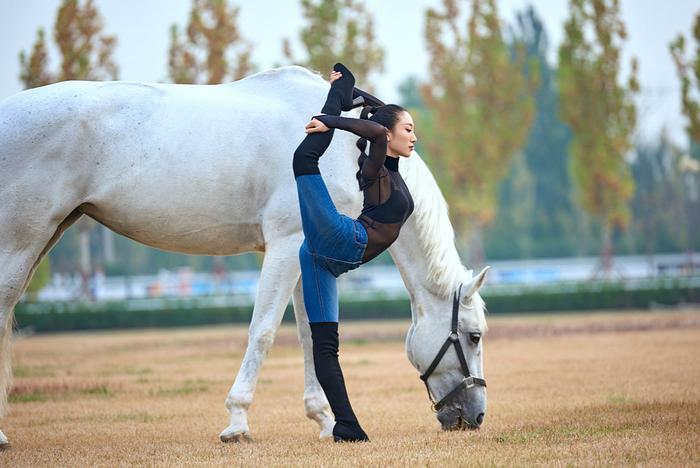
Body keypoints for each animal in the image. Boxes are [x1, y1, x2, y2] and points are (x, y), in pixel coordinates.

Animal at [0, 65, 490, 442]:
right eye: (474, 336)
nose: (476, 415)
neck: (349, 151)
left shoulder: (308, 253)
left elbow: (310, 335)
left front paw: (324, 421)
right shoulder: (287, 243)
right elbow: (264, 331)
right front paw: (237, 421)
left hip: (49, 233)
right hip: (21, 239)